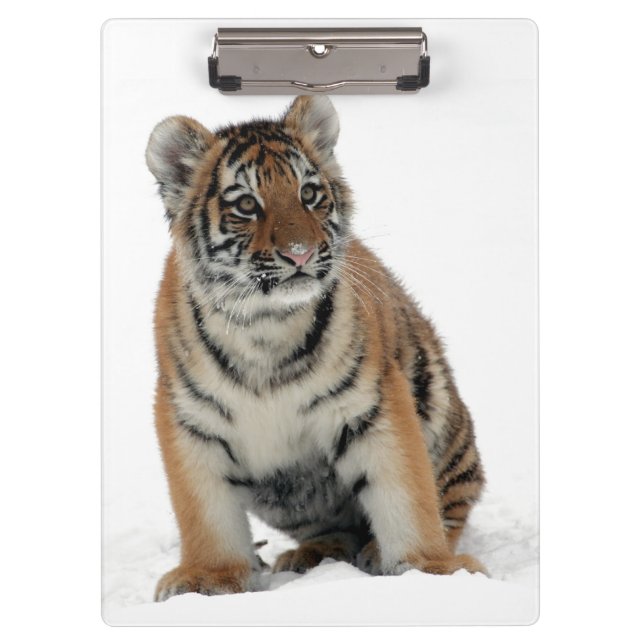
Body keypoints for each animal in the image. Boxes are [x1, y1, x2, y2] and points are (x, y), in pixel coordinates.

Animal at [145, 95, 486, 601]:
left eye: (308, 193)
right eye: (246, 204)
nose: (300, 253)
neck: (265, 325)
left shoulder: (373, 407)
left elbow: (406, 494)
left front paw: (431, 570)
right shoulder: (190, 420)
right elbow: (204, 512)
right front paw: (207, 578)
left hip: (441, 415)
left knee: (447, 505)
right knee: (333, 527)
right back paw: (314, 555)